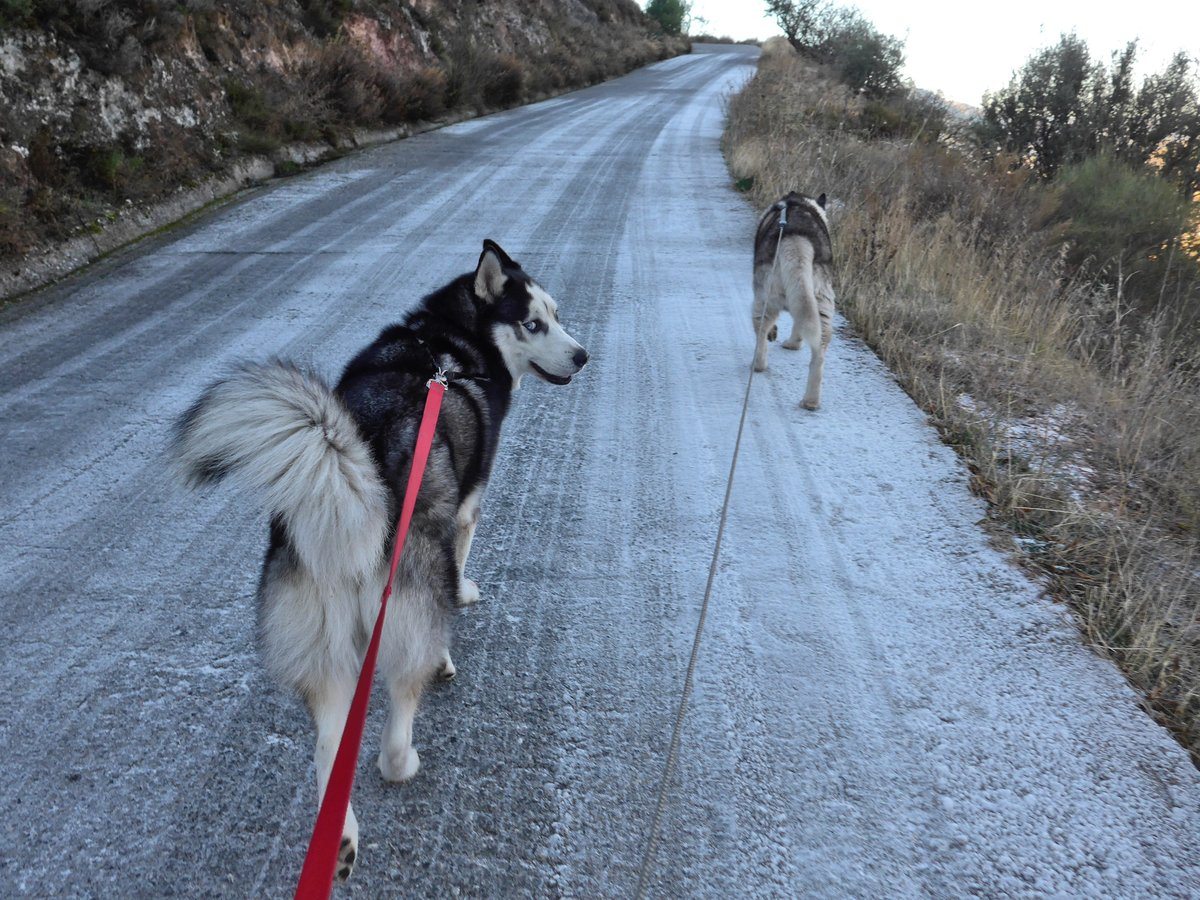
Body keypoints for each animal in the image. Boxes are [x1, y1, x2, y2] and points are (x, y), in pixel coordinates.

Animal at [175, 240, 588, 883]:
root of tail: (352, 490)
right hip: (406, 611)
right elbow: (461, 565)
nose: (583, 355)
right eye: (533, 324)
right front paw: (466, 593)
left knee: (328, 743)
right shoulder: (466, 512)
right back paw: (404, 754)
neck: (448, 343)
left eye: (556, 315)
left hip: (320, 640)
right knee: (399, 708)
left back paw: (341, 837)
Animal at [748, 195, 835, 415]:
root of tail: (796, 240)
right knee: (818, 352)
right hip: (821, 305)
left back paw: (758, 364)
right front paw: (794, 344)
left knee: (761, 332)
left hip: (765, 297)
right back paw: (811, 401)